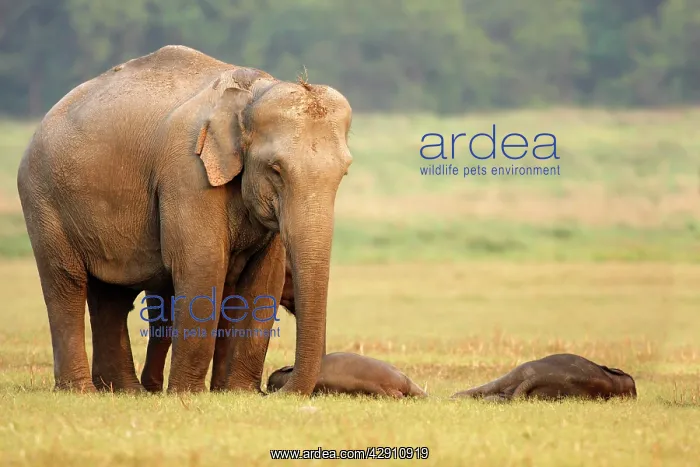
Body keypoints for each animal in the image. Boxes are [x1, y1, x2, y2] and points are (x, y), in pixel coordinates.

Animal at [16, 45, 353, 395]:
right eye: (276, 169)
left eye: (344, 172)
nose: (275, 385)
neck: (252, 92)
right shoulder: (187, 173)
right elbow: (202, 264)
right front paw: (187, 393)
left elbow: (264, 280)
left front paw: (238, 392)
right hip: (43, 198)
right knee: (65, 282)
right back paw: (82, 390)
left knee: (111, 294)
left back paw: (125, 391)